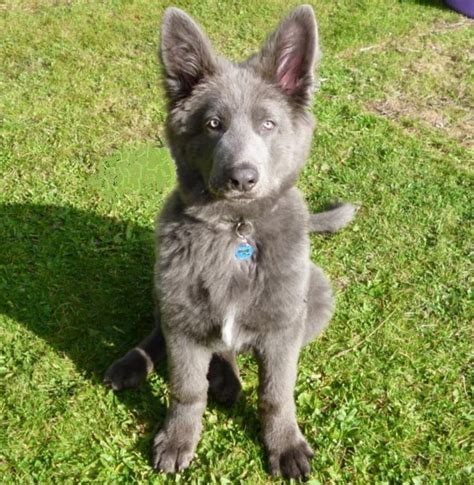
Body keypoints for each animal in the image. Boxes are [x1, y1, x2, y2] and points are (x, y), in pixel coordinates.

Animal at [103, 5, 356, 478]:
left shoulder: (281, 330)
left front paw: (285, 445)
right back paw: (136, 365)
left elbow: (276, 395)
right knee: (165, 332)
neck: (236, 229)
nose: (242, 178)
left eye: (268, 124)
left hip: (316, 297)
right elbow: (186, 391)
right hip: (167, 292)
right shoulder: (183, 326)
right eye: (213, 125)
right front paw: (178, 438)